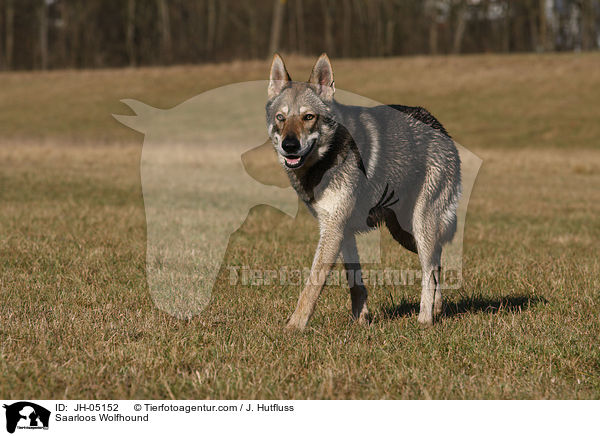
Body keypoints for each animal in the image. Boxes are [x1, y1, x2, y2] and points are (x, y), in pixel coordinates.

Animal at [264, 52, 462, 328]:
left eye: (308, 117)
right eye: (281, 118)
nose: (289, 146)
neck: (325, 162)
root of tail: (437, 123)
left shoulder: (333, 230)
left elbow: (311, 286)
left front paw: (294, 327)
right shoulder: (341, 231)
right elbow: (354, 281)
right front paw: (360, 320)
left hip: (421, 226)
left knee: (430, 270)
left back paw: (424, 319)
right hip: (404, 233)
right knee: (437, 264)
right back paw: (439, 309)